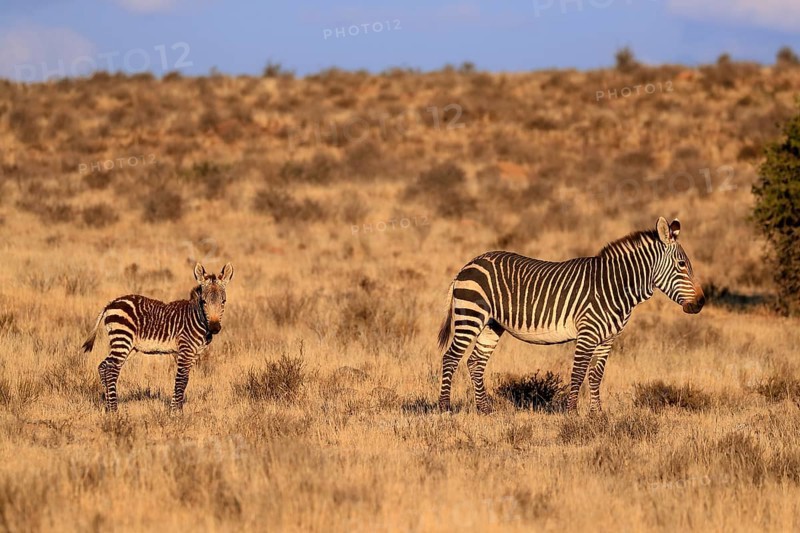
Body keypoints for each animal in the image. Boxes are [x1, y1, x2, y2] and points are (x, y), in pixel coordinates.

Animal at [82, 262, 234, 411]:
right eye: (203, 302)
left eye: (223, 301)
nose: (215, 328)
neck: (197, 318)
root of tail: (111, 303)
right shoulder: (185, 351)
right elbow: (181, 380)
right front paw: (176, 413)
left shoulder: (194, 353)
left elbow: (185, 379)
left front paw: (176, 409)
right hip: (122, 338)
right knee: (111, 369)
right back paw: (114, 410)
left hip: (129, 347)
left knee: (104, 366)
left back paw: (108, 407)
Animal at [437, 217, 704, 414]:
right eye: (682, 265)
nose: (701, 303)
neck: (614, 286)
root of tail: (468, 265)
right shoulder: (587, 334)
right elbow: (578, 374)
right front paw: (572, 413)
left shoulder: (607, 340)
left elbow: (595, 376)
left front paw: (598, 414)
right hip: (470, 316)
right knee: (451, 358)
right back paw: (445, 408)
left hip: (491, 324)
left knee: (475, 362)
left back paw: (485, 410)